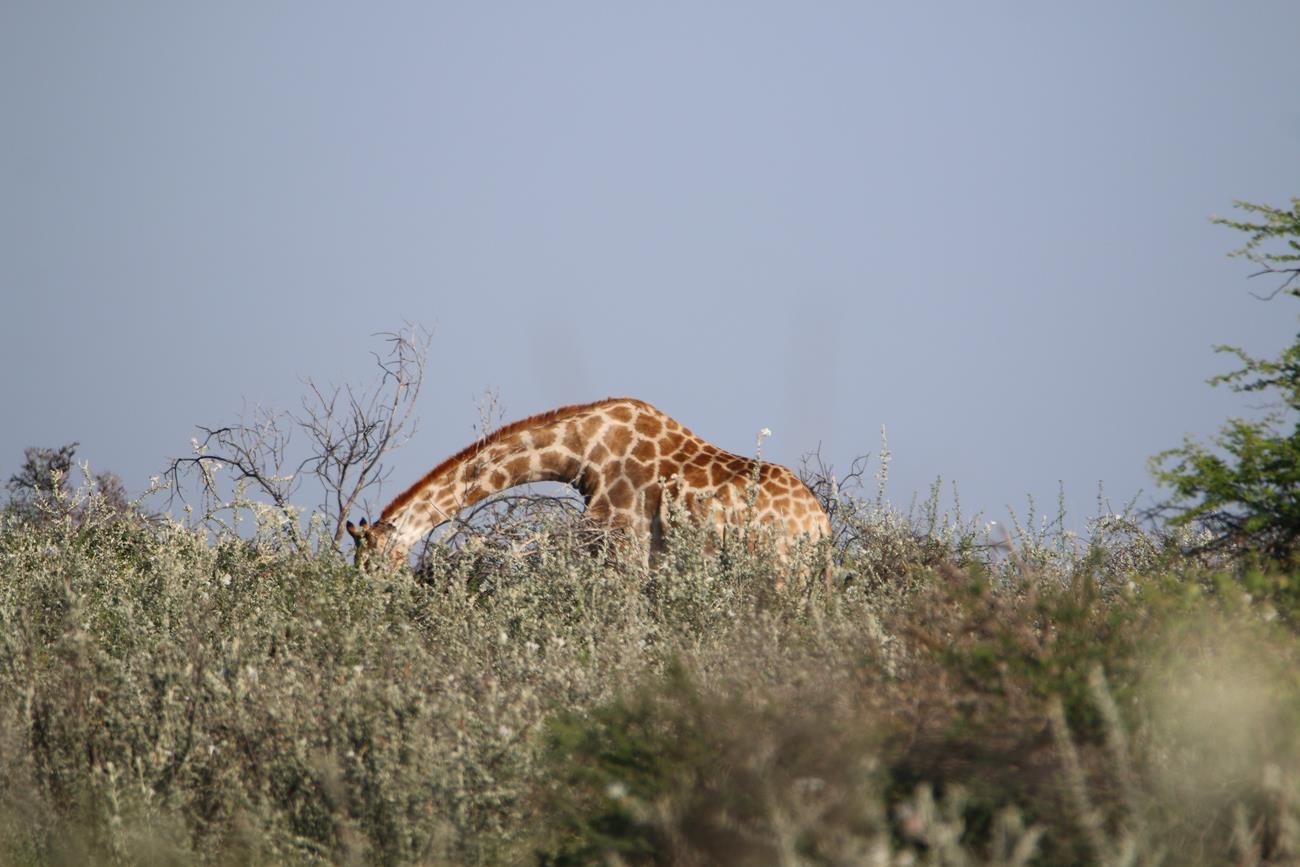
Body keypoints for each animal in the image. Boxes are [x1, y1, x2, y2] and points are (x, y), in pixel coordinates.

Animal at [346, 397, 831, 578]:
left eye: (371, 563)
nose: (367, 598)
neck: (582, 454)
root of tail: (820, 526)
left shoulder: (624, 550)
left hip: (778, 573)